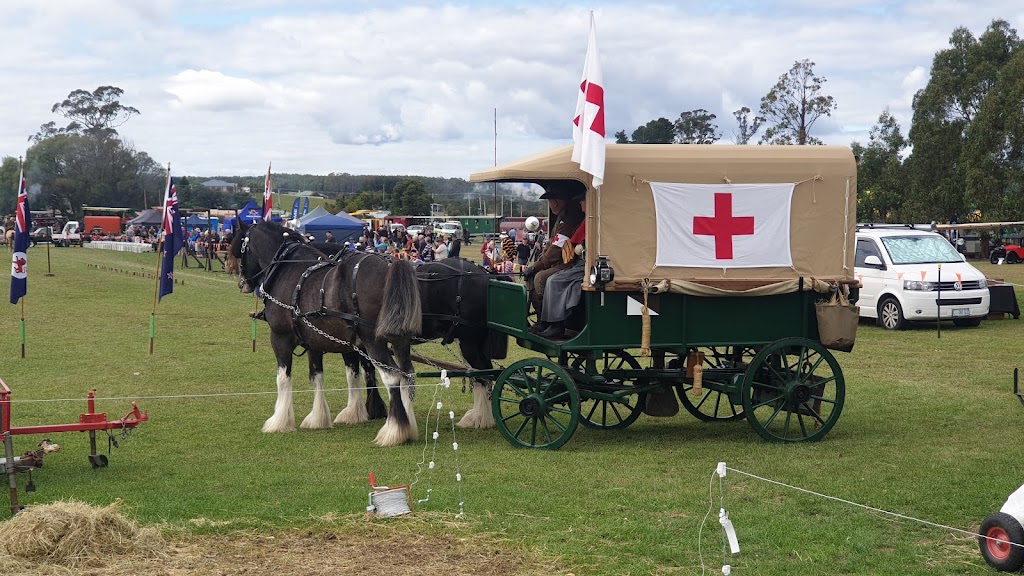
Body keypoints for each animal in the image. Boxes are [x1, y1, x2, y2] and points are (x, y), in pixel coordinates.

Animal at [233, 219, 423, 444]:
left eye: (240, 247)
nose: (242, 284)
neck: (287, 268)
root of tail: (392, 264)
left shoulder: (280, 338)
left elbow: (283, 378)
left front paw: (279, 421)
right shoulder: (315, 341)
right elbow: (319, 376)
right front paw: (319, 418)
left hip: (373, 340)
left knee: (392, 377)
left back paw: (394, 431)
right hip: (400, 340)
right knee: (407, 375)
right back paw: (409, 427)